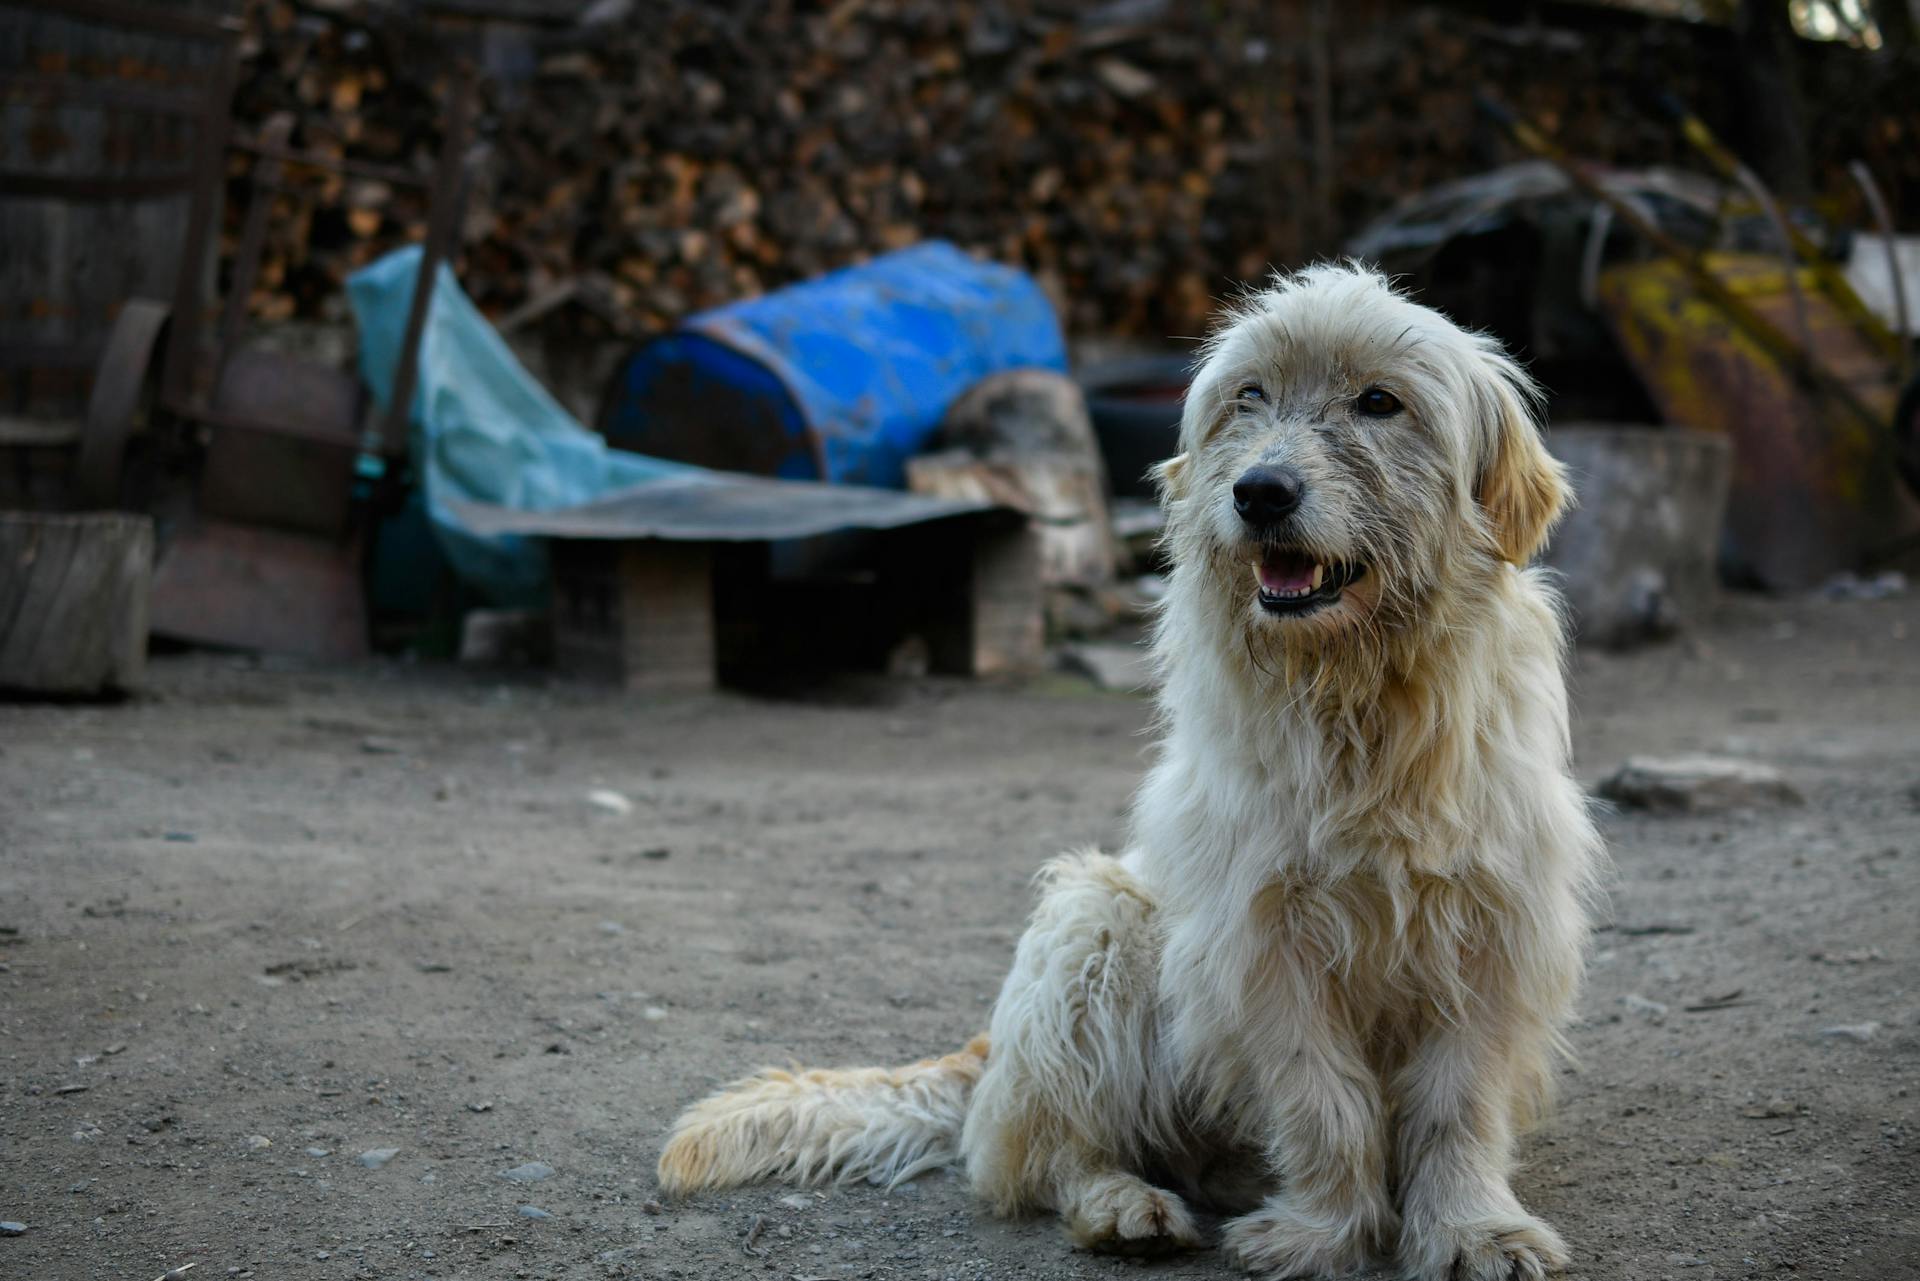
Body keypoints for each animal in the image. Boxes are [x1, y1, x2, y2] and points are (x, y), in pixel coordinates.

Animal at [660, 263, 1605, 1281]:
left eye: (1381, 402)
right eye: (1249, 395)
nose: (1260, 491)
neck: (1359, 703)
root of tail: (989, 1056)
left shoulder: (1493, 932)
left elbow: (1458, 1105)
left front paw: (1473, 1229)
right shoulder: (1263, 942)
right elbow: (1321, 1098)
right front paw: (1322, 1231)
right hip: (1097, 924)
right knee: (1055, 1154)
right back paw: (1123, 1206)